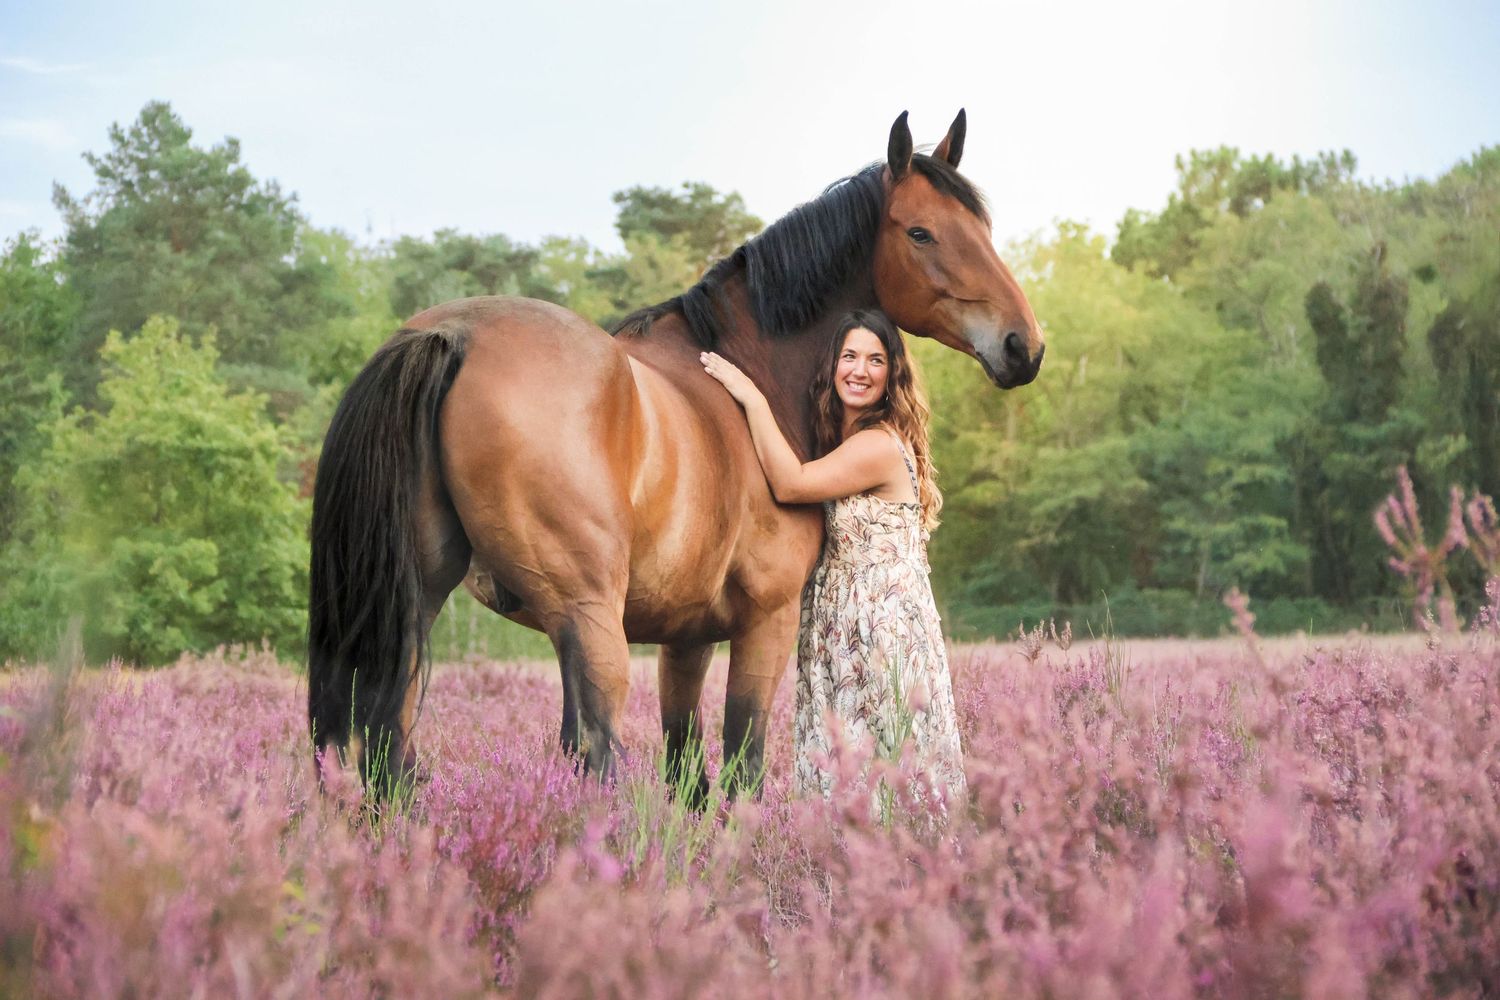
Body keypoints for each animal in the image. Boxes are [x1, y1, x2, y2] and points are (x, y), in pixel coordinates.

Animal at [307, 109, 1043, 799]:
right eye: (920, 232)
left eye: (982, 227)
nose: (1023, 346)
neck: (751, 371)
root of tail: (453, 334)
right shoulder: (765, 622)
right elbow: (742, 762)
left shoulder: (685, 637)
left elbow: (687, 768)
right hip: (586, 618)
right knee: (590, 752)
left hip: (418, 604)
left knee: (388, 744)